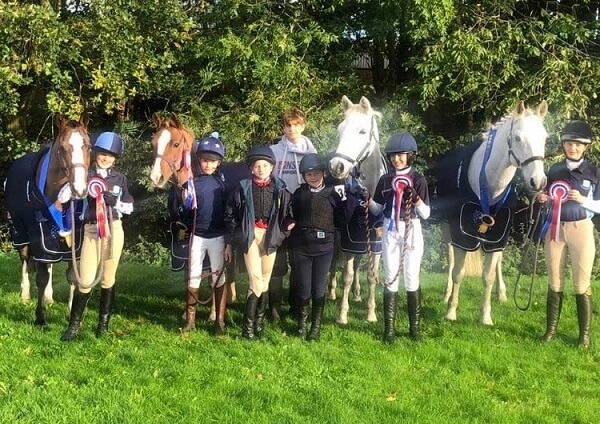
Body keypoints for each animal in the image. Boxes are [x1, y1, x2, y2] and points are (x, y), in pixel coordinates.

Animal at [4, 116, 91, 324]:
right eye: (62, 148)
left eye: (88, 146)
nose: (79, 190)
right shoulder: (39, 238)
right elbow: (41, 278)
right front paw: (40, 317)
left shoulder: (72, 243)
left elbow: (71, 276)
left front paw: (71, 312)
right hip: (20, 233)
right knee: (25, 261)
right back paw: (25, 295)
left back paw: (49, 297)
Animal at [328, 96, 390, 322]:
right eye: (340, 130)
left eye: (362, 131)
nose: (337, 166)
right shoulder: (348, 238)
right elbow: (346, 274)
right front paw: (342, 314)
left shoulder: (375, 239)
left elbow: (371, 275)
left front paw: (371, 313)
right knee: (334, 262)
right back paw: (331, 291)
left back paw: (356, 294)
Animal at [440, 101, 548, 326]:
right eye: (518, 138)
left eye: (544, 138)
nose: (538, 182)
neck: (489, 185)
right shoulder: (461, 234)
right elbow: (458, 272)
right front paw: (451, 311)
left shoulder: (498, 235)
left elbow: (488, 275)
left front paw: (486, 316)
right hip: (447, 228)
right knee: (451, 257)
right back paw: (446, 295)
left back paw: (502, 293)